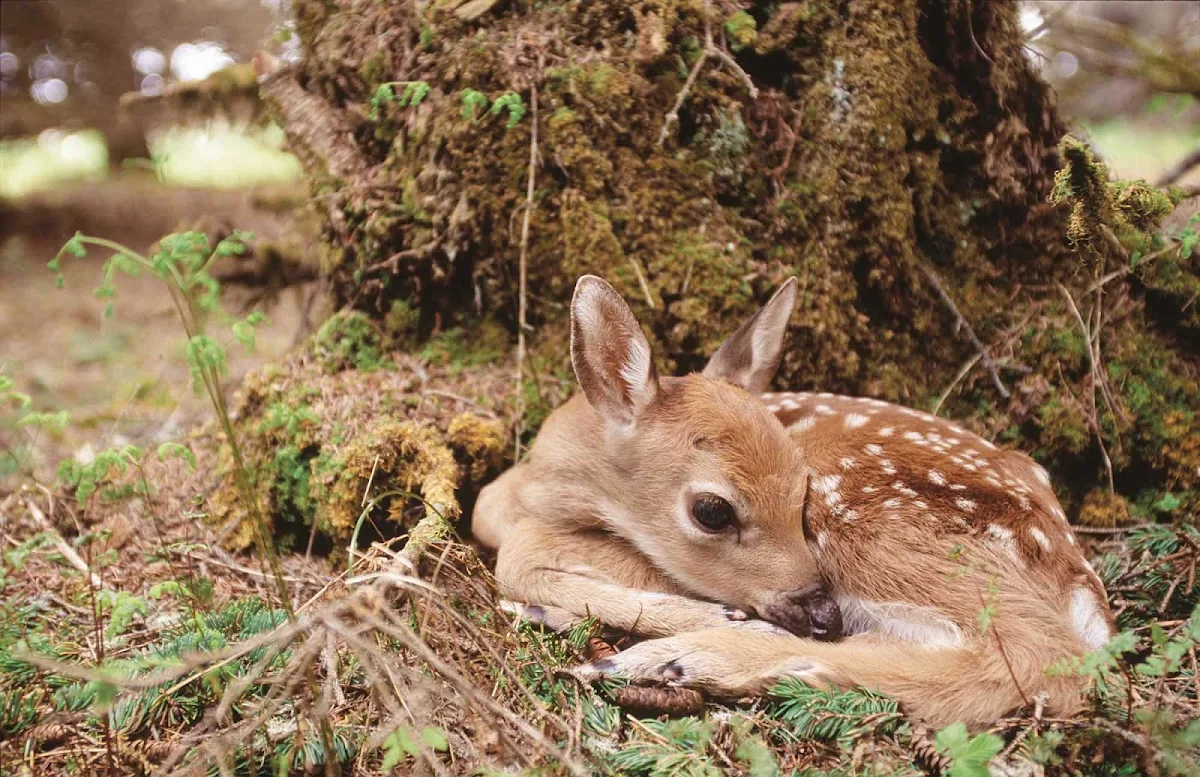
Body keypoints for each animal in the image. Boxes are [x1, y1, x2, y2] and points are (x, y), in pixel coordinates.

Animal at [471, 275, 1114, 727]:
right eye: (713, 511)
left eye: (798, 495)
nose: (823, 612)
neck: (543, 477)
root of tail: (1081, 583)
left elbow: (524, 557)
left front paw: (703, 616)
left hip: (877, 523)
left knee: (1033, 658)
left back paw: (669, 658)